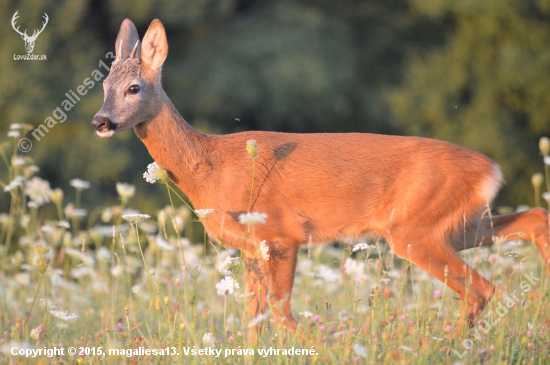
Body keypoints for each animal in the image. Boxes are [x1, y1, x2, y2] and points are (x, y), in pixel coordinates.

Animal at [94, 18, 550, 338]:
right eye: (103, 86)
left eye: (134, 88)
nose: (101, 121)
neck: (208, 170)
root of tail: (491, 168)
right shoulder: (250, 249)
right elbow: (253, 316)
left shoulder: (282, 235)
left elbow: (280, 311)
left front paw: (326, 347)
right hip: (455, 223)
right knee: (533, 221)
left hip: (415, 228)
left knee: (481, 288)